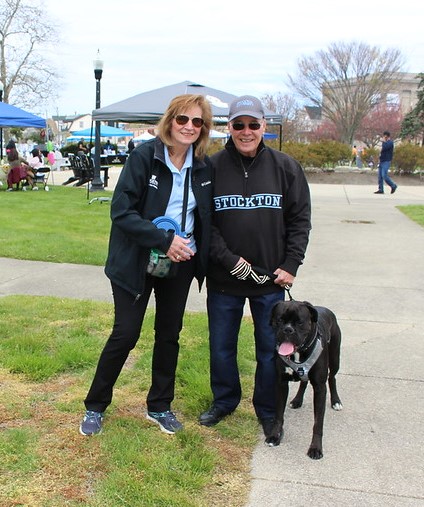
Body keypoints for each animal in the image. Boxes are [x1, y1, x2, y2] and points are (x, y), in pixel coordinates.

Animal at [266, 302, 342, 460]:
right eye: (279, 320)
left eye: (300, 322)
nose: (288, 329)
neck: (297, 353)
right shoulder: (281, 384)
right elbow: (278, 415)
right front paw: (274, 436)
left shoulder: (320, 388)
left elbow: (318, 423)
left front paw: (316, 448)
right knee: (304, 381)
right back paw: (297, 400)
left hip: (335, 359)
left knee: (332, 377)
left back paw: (336, 401)